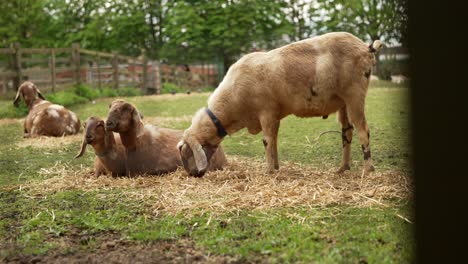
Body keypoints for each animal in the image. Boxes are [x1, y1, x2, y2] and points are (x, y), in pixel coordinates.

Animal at [177, 32, 382, 176]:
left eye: (186, 152)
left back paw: (367, 171)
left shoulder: (266, 112)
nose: (193, 174)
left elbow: (267, 140)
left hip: (355, 94)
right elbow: (274, 139)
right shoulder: (275, 115)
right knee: (347, 131)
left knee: (363, 130)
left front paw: (267, 171)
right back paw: (342, 169)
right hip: (343, 103)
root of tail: (366, 48)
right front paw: (276, 167)